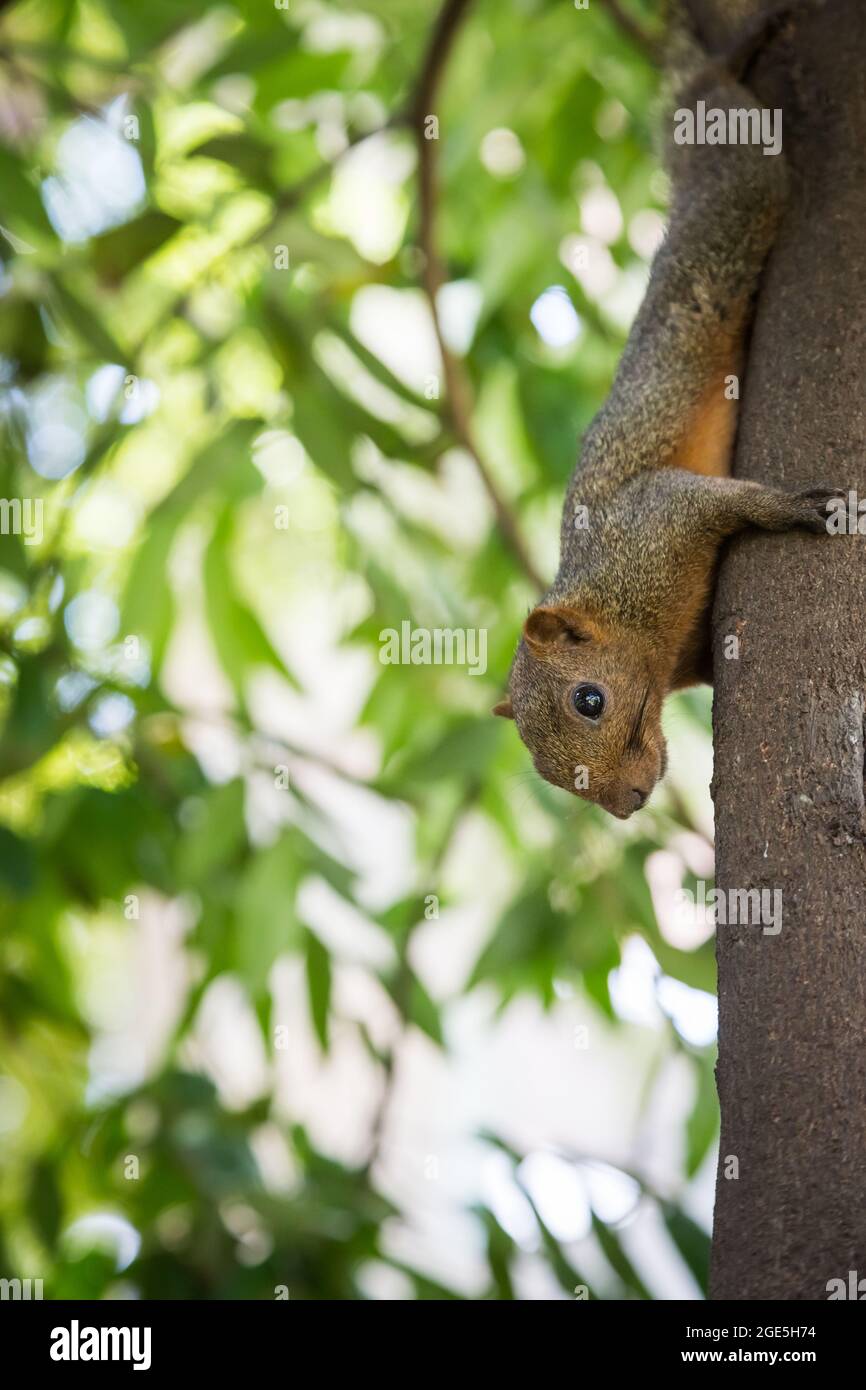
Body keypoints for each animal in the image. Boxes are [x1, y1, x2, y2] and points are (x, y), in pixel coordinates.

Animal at [493, 4, 838, 820]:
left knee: (724, 123)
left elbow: (720, 500)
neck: (632, 618)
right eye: (543, 769)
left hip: (737, 198)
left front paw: (789, 508)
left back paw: (732, 53)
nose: (627, 803)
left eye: (589, 700)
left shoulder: (654, 521)